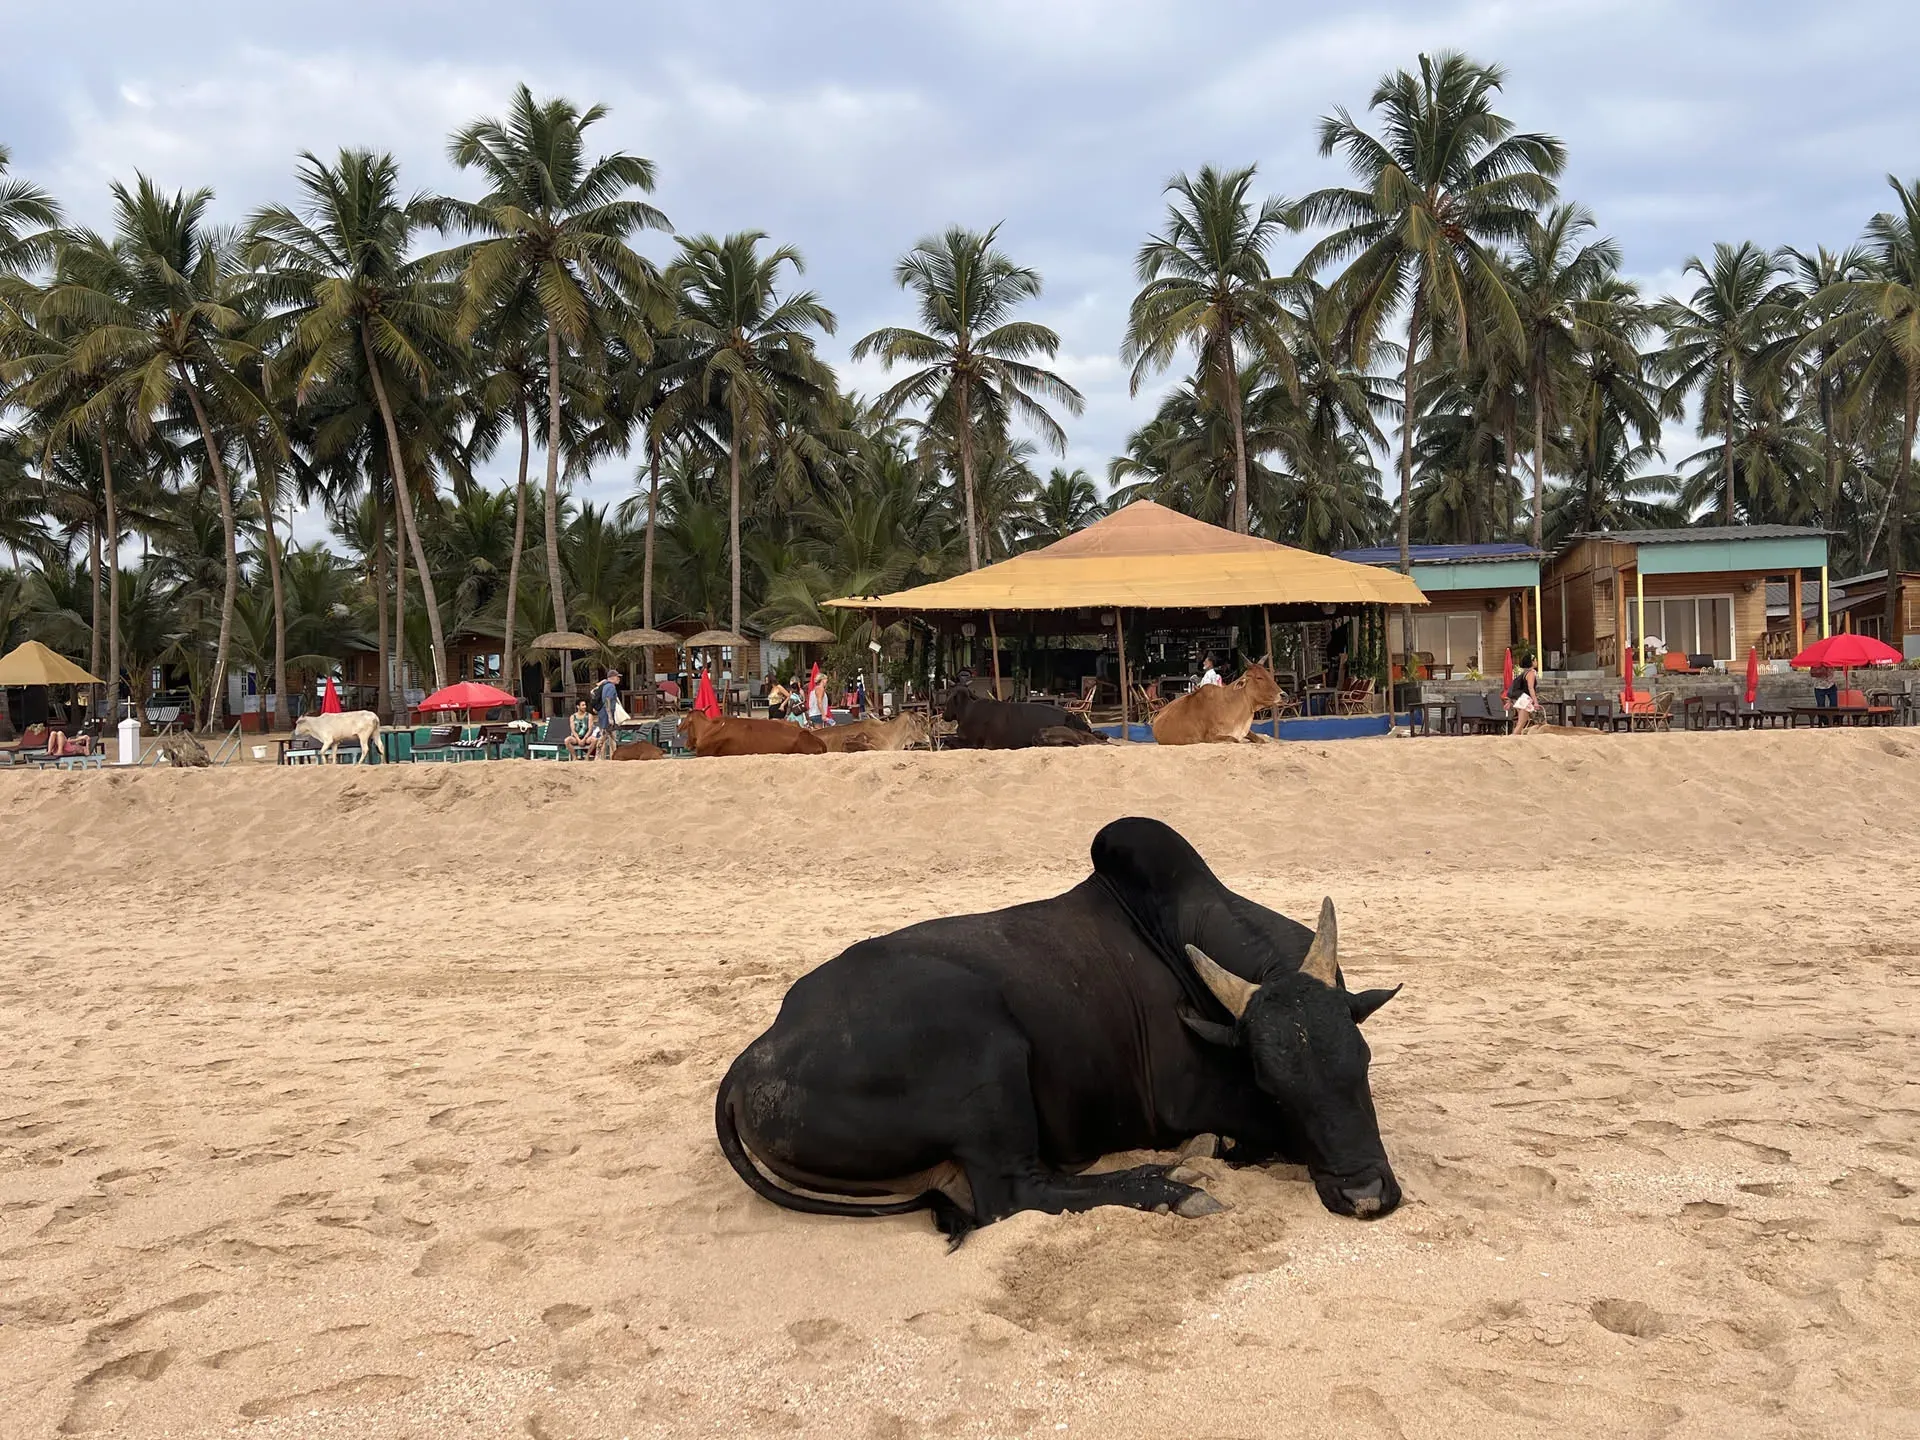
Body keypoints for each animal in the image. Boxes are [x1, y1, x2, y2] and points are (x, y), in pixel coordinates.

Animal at [715, 817, 1402, 1244]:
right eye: (1270, 1083)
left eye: (1361, 1062)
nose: (1365, 1193)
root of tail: (754, 1056)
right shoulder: (1184, 1101)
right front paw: (1215, 1148)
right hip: (988, 1064)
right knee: (1016, 1193)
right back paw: (1167, 1186)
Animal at [941, 686, 1106, 749]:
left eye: (947, 701)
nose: (942, 715)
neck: (968, 709)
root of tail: (1069, 714)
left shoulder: (974, 743)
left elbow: (950, 739)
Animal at [1152, 663, 1283, 745]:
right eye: (1259, 677)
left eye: (1269, 675)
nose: (1284, 695)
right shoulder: (1209, 737)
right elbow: (1235, 740)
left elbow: (1260, 740)